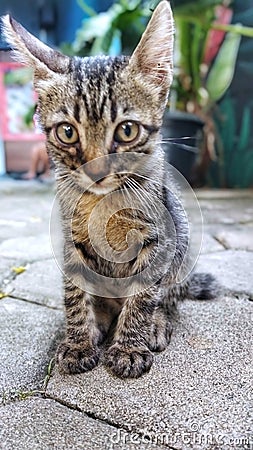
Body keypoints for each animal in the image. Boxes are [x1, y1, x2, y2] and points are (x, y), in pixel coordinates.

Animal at [1, 1, 217, 378]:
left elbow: (142, 297)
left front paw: (129, 347)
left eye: (127, 130)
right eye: (67, 132)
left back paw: (156, 323)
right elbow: (75, 292)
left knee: (168, 298)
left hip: (180, 251)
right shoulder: (71, 239)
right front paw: (78, 342)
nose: (96, 171)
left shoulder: (159, 239)